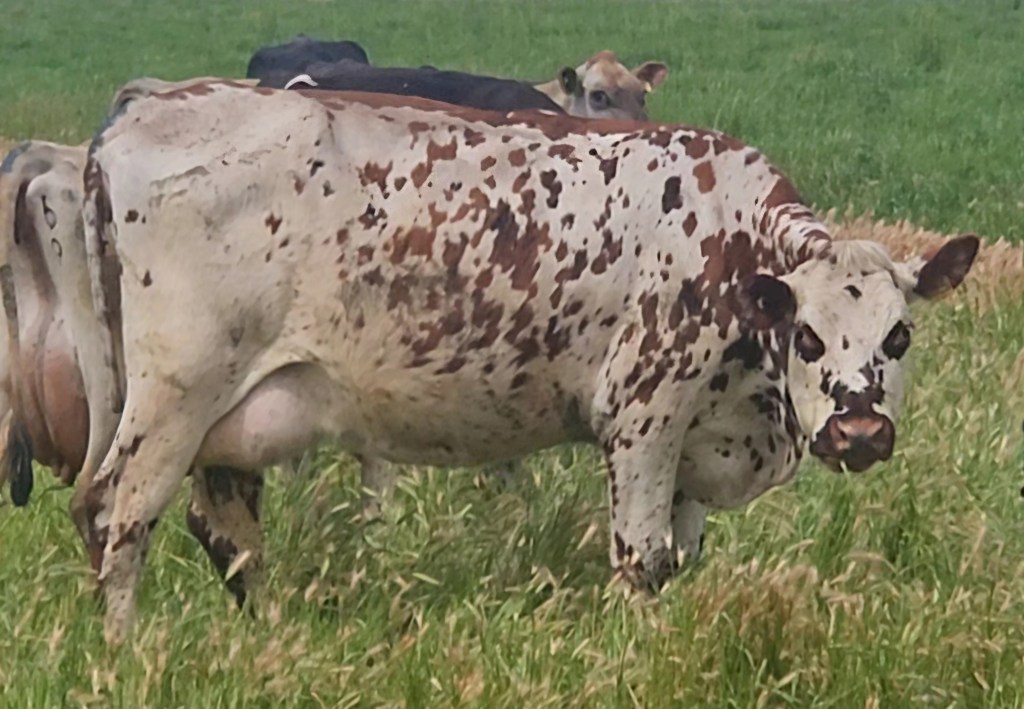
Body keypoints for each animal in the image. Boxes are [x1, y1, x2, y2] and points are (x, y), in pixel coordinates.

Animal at [80, 81, 977, 644]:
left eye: (899, 336)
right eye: (808, 336)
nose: (859, 429)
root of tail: (142, 111)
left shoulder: (694, 443)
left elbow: (678, 561)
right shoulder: (644, 419)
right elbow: (641, 559)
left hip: (231, 422)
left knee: (226, 533)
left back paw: (269, 637)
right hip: (174, 397)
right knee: (115, 515)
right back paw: (124, 656)